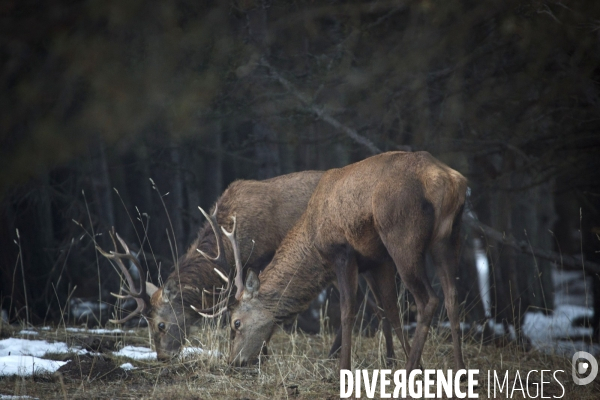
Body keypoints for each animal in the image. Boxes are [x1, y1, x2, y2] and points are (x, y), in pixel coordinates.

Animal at [223, 151, 466, 372]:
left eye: (236, 322)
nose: (233, 362)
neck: (312, 239)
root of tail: (447, 180)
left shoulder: (343, 253)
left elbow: (348, 309)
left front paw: (344, 367)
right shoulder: (379, 261)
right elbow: (390, 309)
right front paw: (412, 364)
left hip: (402, 239)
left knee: (429, 300)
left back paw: (409, 370)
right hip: (447, 239)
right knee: (452, 297)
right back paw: (459, 369)